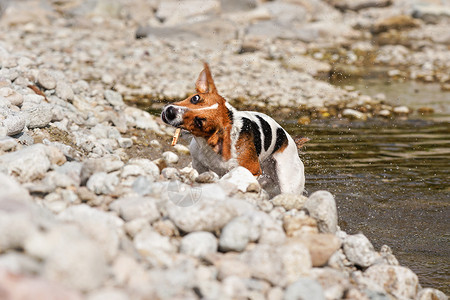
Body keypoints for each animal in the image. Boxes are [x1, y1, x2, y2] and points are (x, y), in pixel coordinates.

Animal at [162, 62, 306, 196]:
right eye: (195, 98)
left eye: (199, 122)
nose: (170, 112)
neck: (208, 145)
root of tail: (290, 141)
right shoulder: (199, 165)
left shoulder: (252, 170)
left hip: (288, 182)